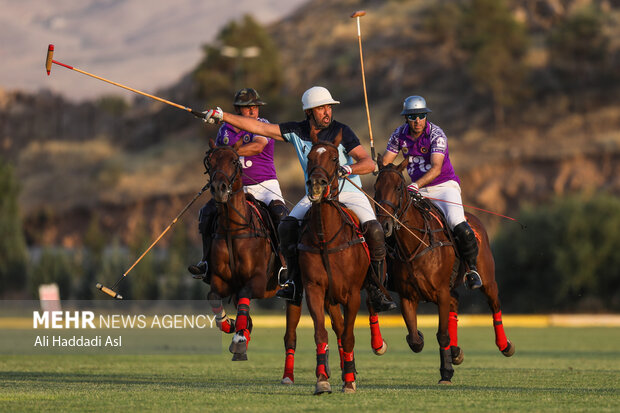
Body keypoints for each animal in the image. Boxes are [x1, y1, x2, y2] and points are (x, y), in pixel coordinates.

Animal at [296, 129, 378, 392]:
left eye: (335, 158)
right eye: (309, 156)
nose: (317, 185)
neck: (326, 237)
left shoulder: (352, 294)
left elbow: (350, 336)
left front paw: (350, 382)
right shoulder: (315, 290)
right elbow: (322, 333)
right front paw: (322, 379)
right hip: (331, 298)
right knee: (338, 329)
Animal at [372, 154, 512, 384]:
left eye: (399, 187)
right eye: (376, 187)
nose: (385, 226)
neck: (415, 244)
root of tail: (472, 218)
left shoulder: (441, 293)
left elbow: (442, 334)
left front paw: (445, 372)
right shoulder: (407, 296)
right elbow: (414, 340)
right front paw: (441, 351)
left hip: (487, 279)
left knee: (494, 305)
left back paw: (505, 345)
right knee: (456, 303)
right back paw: (456, 352)